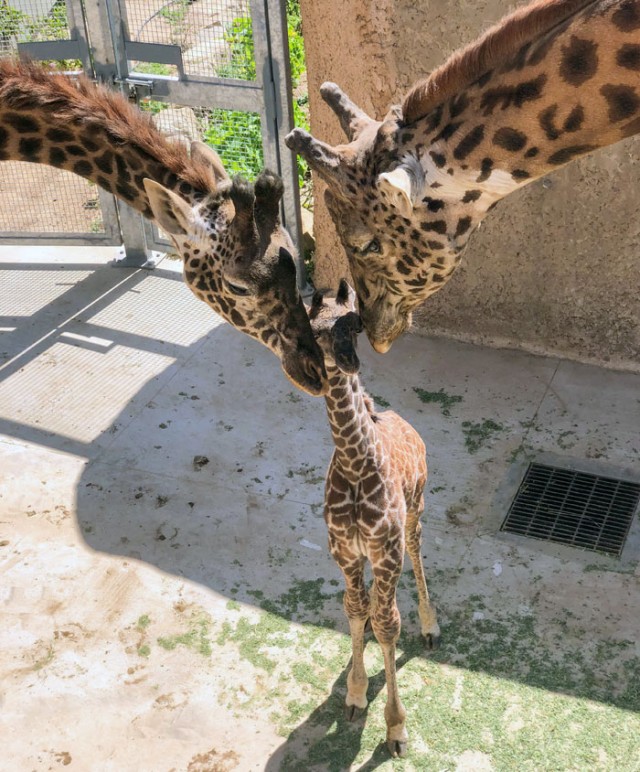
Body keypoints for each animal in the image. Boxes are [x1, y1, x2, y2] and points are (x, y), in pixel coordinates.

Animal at [308, 280, 440, 756]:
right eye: (315, 330)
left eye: (355, 324)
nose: (349, 361)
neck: (354, 465)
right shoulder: (345, 552)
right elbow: (353, 608)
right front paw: (354, 694)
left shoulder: (386, 553)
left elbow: (387, 626)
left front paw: (396, 729)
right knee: (365, 605)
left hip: (415, 512)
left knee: (417, 553)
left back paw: (430, 625)